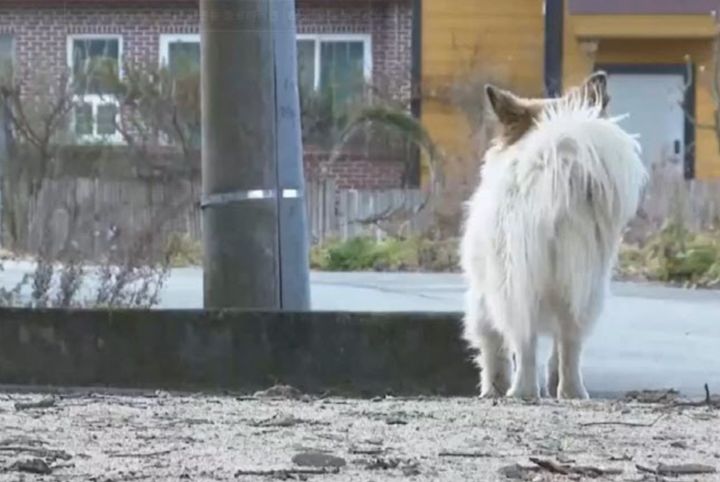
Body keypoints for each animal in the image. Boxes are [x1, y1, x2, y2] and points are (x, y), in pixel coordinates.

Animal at [458, 71, 648, 398]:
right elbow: (558, 348)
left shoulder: (482, 296)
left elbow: (492, 346)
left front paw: (492, 388)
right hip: (585, 286)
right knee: (570, 342)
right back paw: (571, 391)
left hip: (513, 280)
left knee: (524, 341)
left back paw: (521, 392)